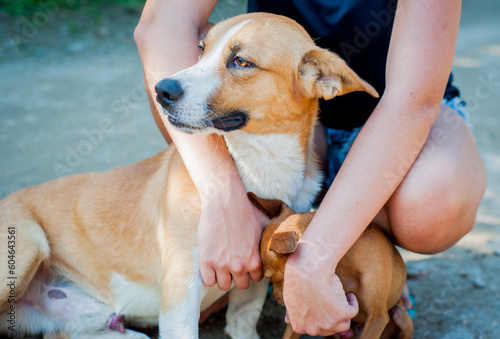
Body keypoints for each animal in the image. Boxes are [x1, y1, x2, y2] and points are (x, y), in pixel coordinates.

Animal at [0, 13, 376, 339]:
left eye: (241, 62)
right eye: (201, 48)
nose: (161, 89)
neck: (258, 167)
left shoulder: (250, 283)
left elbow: (242, 322)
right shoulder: (180, 291)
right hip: (28, 248)